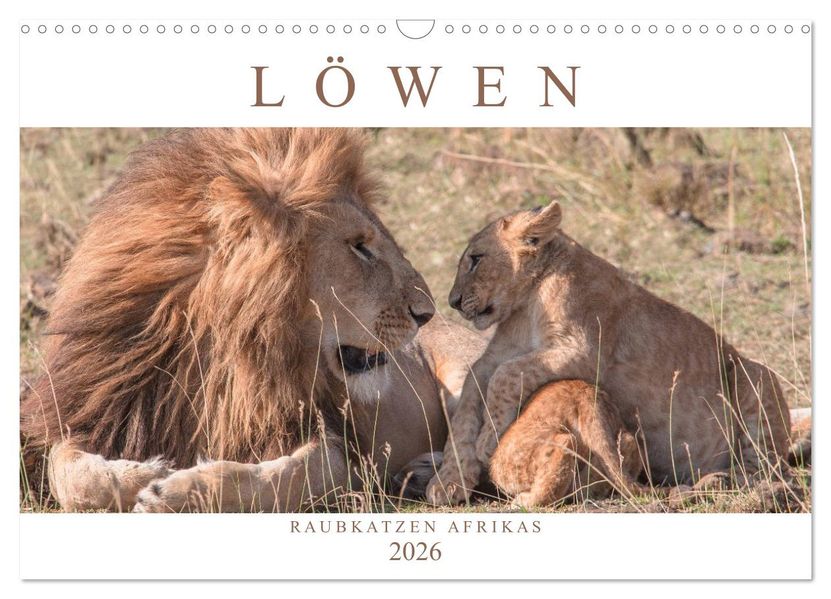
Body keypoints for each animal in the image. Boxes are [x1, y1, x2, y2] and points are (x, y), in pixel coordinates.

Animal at [20, 128, 484, 512]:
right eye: (359, 246)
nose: (427, 312)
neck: (218, 354)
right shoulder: (96, 410)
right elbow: (71, 474)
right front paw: (147, 472)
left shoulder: (337, 446)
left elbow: (278, 478)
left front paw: (175, 489)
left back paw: (431, 475)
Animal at [426, 200, 791, 506]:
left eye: (475, 259)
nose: (453, 302)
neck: (526, 301)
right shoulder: (496, 356)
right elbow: (467, 404)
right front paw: (448, 482)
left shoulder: (584, 350)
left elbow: (506, 375)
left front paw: (488, 440)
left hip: (754, 374)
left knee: (768, 466)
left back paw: (731, 481)